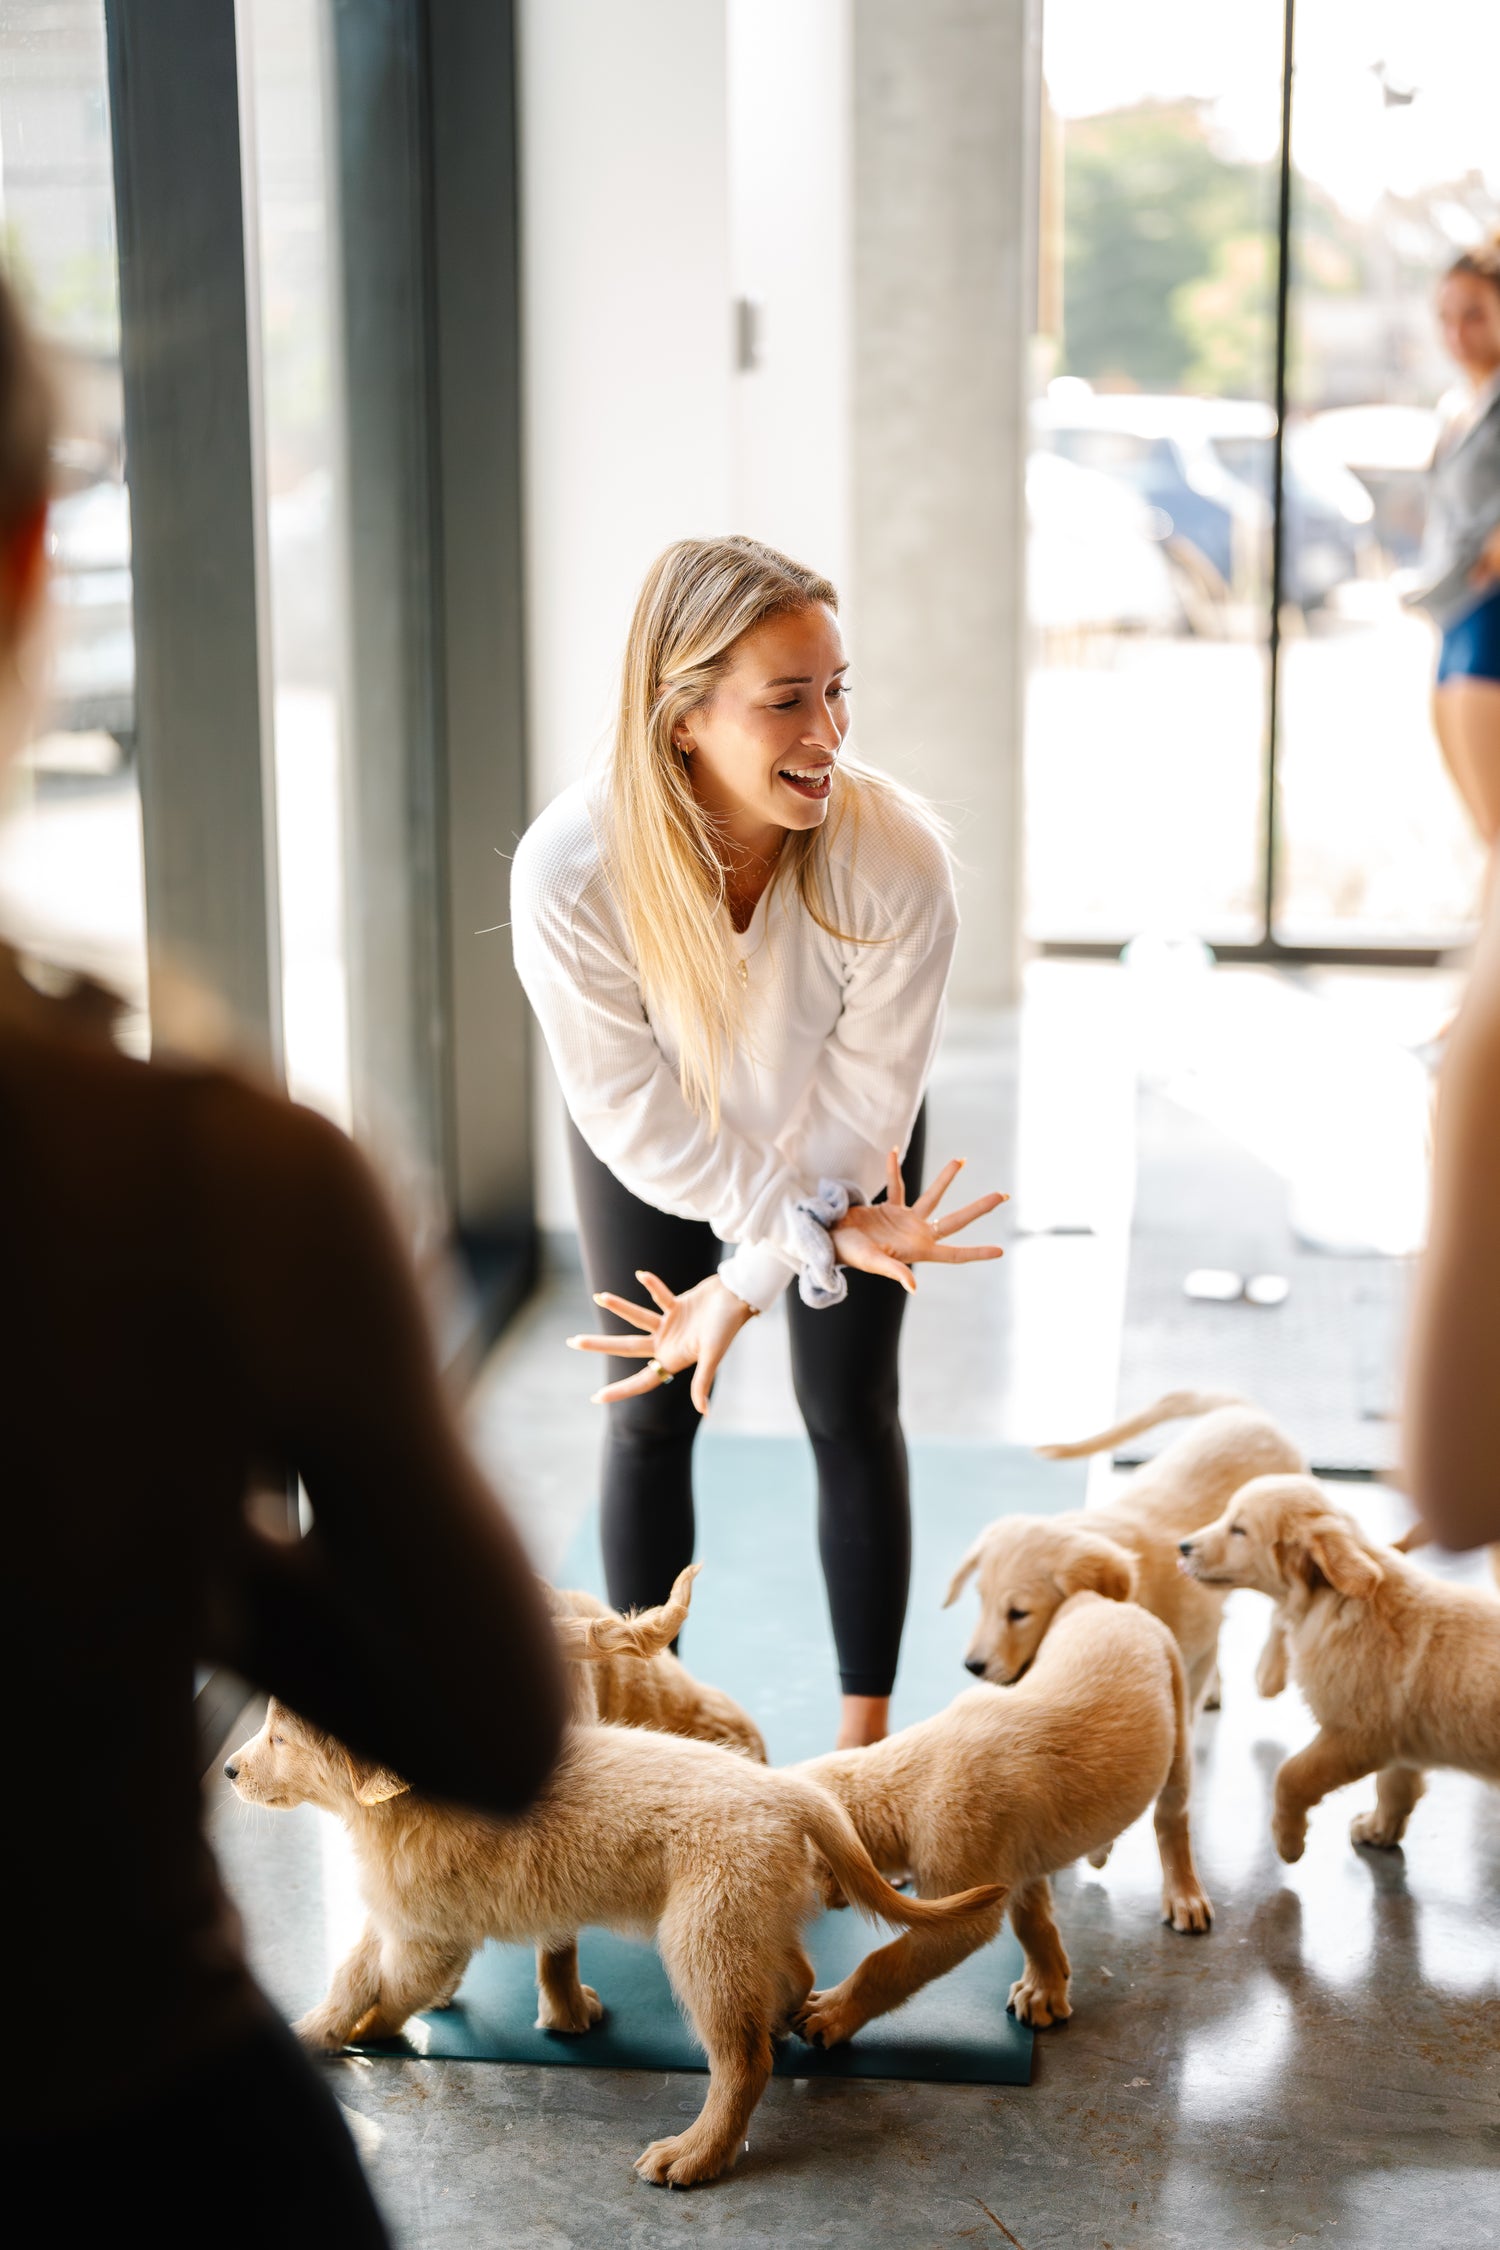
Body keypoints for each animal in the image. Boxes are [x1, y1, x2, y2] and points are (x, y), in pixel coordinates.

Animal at [791, 1584, 1214, 2061]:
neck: (909, 1783)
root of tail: (1105, 1602)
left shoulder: (960, 1912)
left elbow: (883, 1965)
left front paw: (831, 2013)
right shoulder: (1015, 1864)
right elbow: (1031, 1922)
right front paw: (1045, 1987)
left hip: (1177, 1734)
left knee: (1171, 1822)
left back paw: (1184, 1896)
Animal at [1187, 1467, 1500, 1854]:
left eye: (1238, 1530)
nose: (1182, 1546)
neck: (1335, 1603)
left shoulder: (1353, 1736)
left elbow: (1290, 1776)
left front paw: (1288, 1841)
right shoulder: (1401, 1742)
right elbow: (1394, 1787)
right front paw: (1379, 1829)